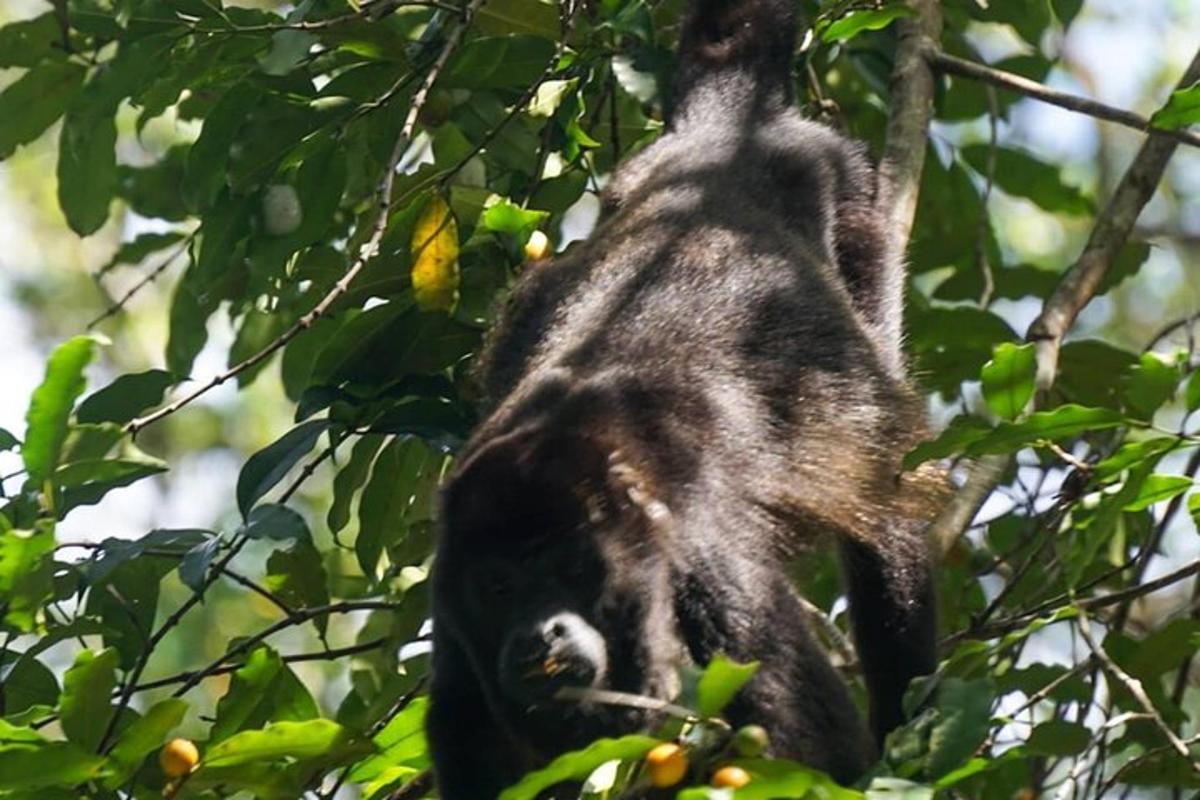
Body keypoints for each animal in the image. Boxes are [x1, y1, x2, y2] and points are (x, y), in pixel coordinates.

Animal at [427, 0, 940, 796]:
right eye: (499, 587)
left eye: (569, 569)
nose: (541, 633)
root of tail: (722, 135)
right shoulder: (453, 629)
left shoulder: (706, 566)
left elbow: (815, 747)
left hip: (858, 219)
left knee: (884, 511)